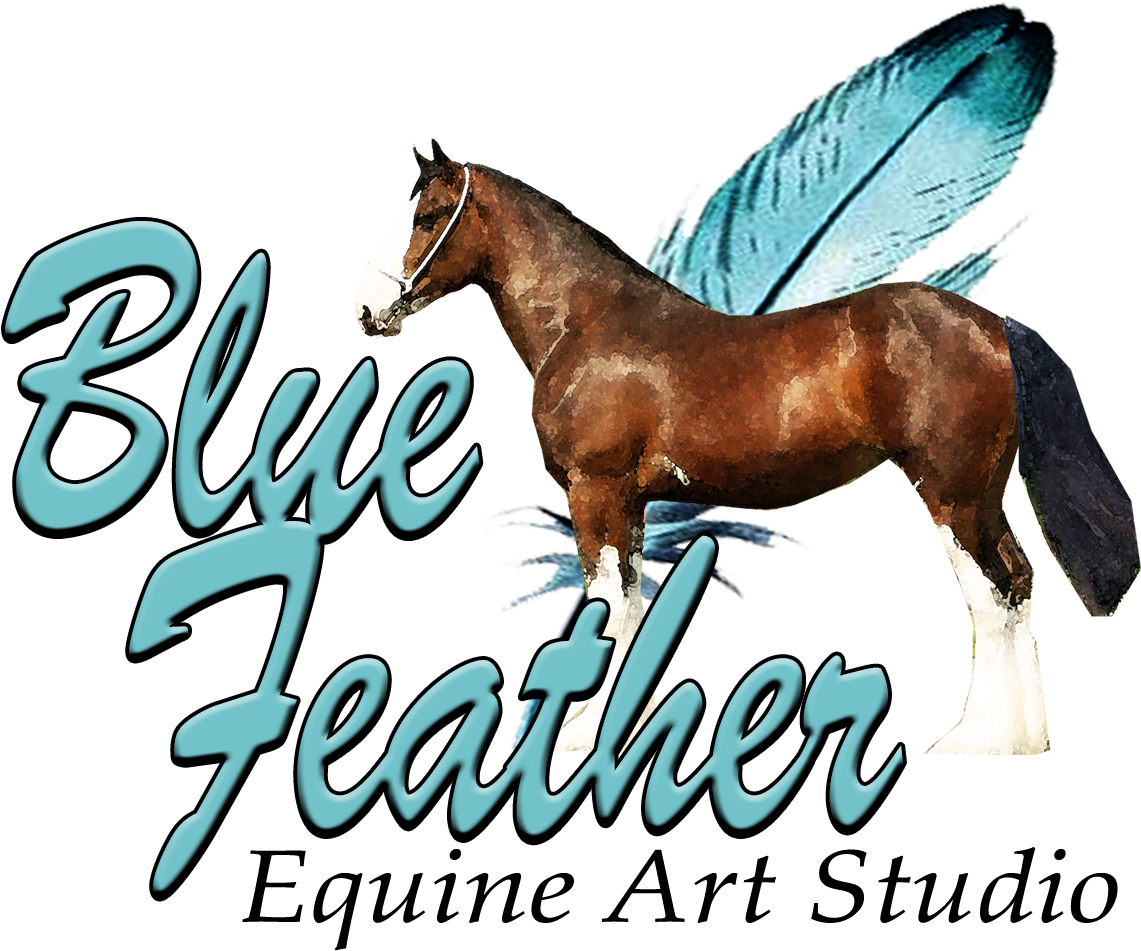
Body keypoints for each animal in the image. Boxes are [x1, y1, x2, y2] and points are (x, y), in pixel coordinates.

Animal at [354, 139, 1137, 756]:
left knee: (992, 592)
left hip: (952, 492)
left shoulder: (595, 491)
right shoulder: (629, 502)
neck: (587, 323)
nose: (367, 308)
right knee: (1018, 583)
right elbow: (631, 606)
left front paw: (583, 733)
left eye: (428, 215)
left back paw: (977, 739)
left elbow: (609, 607)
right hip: (979, 494)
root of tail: (991, 325)